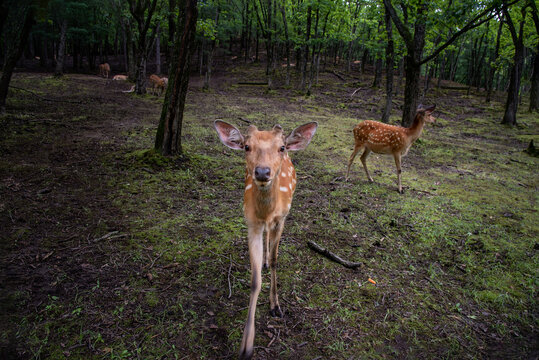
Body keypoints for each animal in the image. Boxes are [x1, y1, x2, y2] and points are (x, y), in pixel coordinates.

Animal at [213, 119, 318, 358]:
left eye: (281, 148)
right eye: (246, 146)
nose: (262, 171)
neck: (266, 212)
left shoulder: (282, 218)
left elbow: (276, 259)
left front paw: (276, 306)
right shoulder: (251, 222)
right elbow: (254, 280)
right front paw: (246, 345)